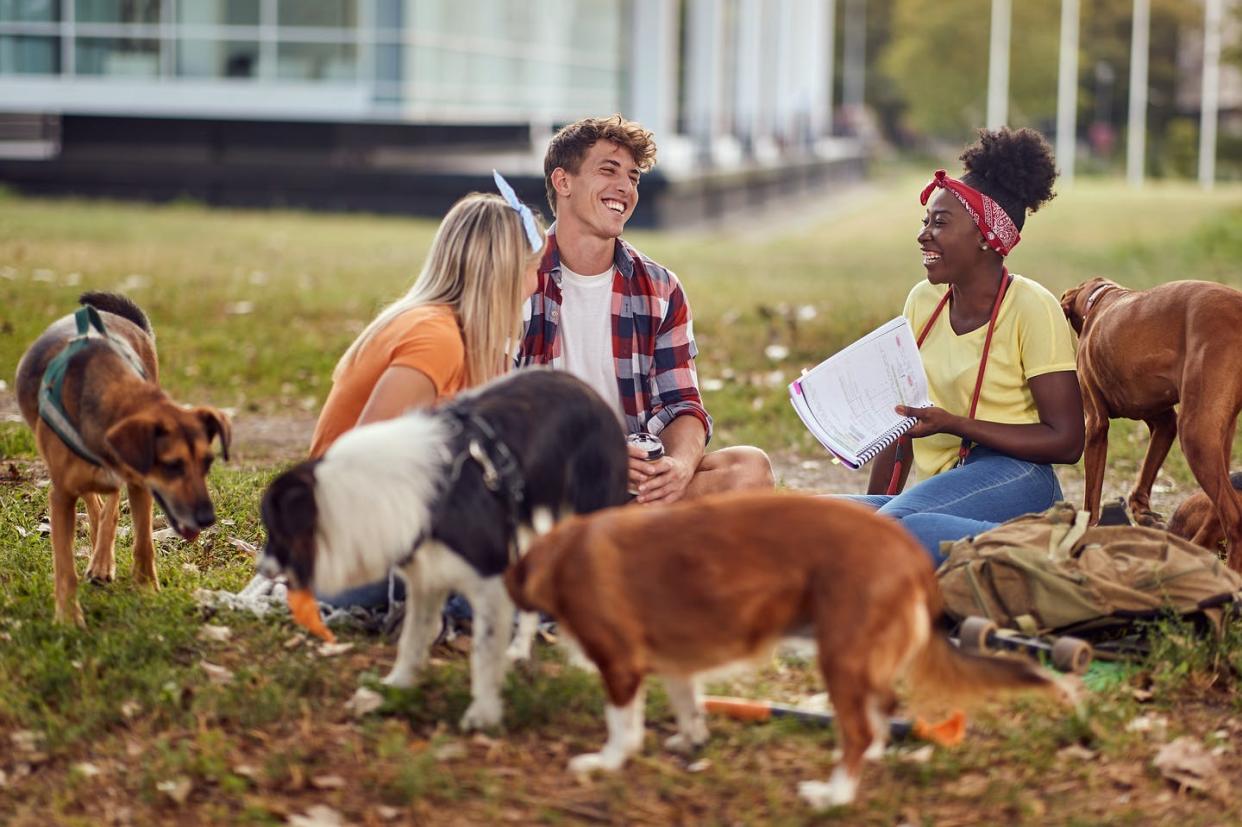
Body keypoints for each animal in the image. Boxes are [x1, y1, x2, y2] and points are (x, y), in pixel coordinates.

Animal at [15, 293, 233, 620]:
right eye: (173, 465)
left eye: (207, 463)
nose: (207, 518)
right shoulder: (62, 494)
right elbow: (64, 564)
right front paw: (68, 618)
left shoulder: (140, 483)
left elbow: (143, 542)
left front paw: (147, 590)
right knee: (96, 504)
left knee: (111, 506)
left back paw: (103, 560)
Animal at [504, 489, 1068, 804]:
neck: (563, 550)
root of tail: (908, 552)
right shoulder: (675, 664)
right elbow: (688, 706)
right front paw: (690, 740)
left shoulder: (620, 664)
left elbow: (622, 726)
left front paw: (604, 761)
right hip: (860, 658)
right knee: (880, 709)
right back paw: (873, 754)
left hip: (839, 654)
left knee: (859, 728)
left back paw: (834, 795)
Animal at [1063, 275, 1242, 566]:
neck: (1102, 298)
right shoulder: (1164, 422)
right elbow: (1144, 479)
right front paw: (1144, 515)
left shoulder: (1096, 425)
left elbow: (1091, 498)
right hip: (1217, 435)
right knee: (1219, 512)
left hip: (1195, 434)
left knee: (1234, 517)